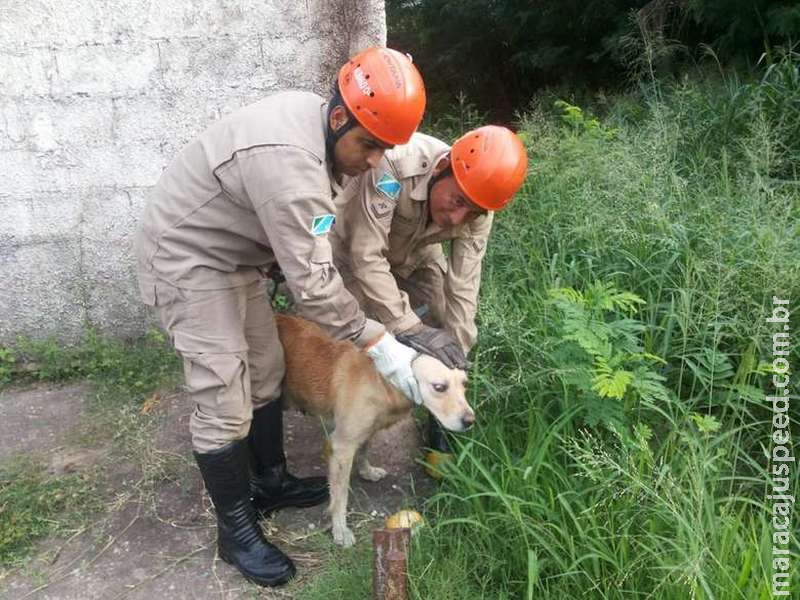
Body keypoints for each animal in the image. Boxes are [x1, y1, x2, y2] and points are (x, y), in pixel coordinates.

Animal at [276, 316, 476, 548]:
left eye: (464, 384)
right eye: (439, 387)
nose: (470, 421)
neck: (382, 381)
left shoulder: (367, 430)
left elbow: (364, 449)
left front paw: (366, 471)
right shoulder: (342, 446)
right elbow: (340, 496)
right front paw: (340, 530)